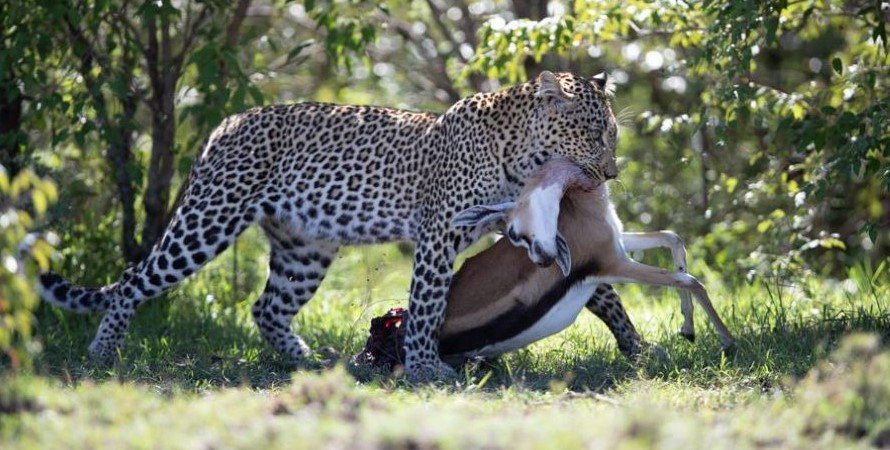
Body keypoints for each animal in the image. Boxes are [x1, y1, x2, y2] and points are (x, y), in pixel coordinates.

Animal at [38, 70, 620, 380]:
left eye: (613, 133)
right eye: (594, 132)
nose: (613, 172)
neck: (522, 154)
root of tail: (224, 124)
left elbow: (599, 286)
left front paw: (635, 347)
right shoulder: (437, 237)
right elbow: (428, 306)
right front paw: (425, 369)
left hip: (305, 249)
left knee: (267, 306)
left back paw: (307, 362)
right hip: (208, 220)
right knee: (133, 280)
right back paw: (102, 353)